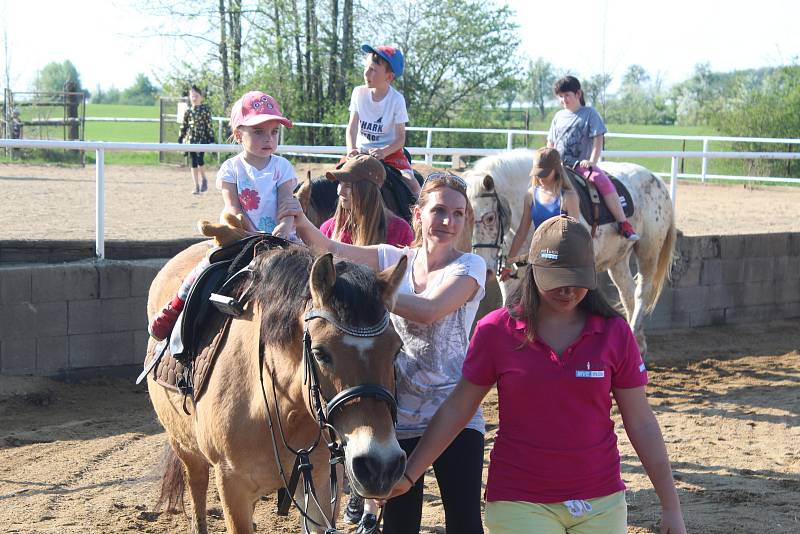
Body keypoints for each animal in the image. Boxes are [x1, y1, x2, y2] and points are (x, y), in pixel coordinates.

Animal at [145, 244, 406, 534]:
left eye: (397, 349)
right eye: (320, 353)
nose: (380, 466)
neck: (279, 406)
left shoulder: (321, 482)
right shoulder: (231, 485)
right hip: (184, 446)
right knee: (197, 487)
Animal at [462, 151, 676, 358]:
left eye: (490, 218)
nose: (486, 268)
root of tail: (656, 179)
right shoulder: (511, 274)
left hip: (648, 250)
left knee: (641, 292)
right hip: (618, 260)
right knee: (627, 293)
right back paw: (636, 342)